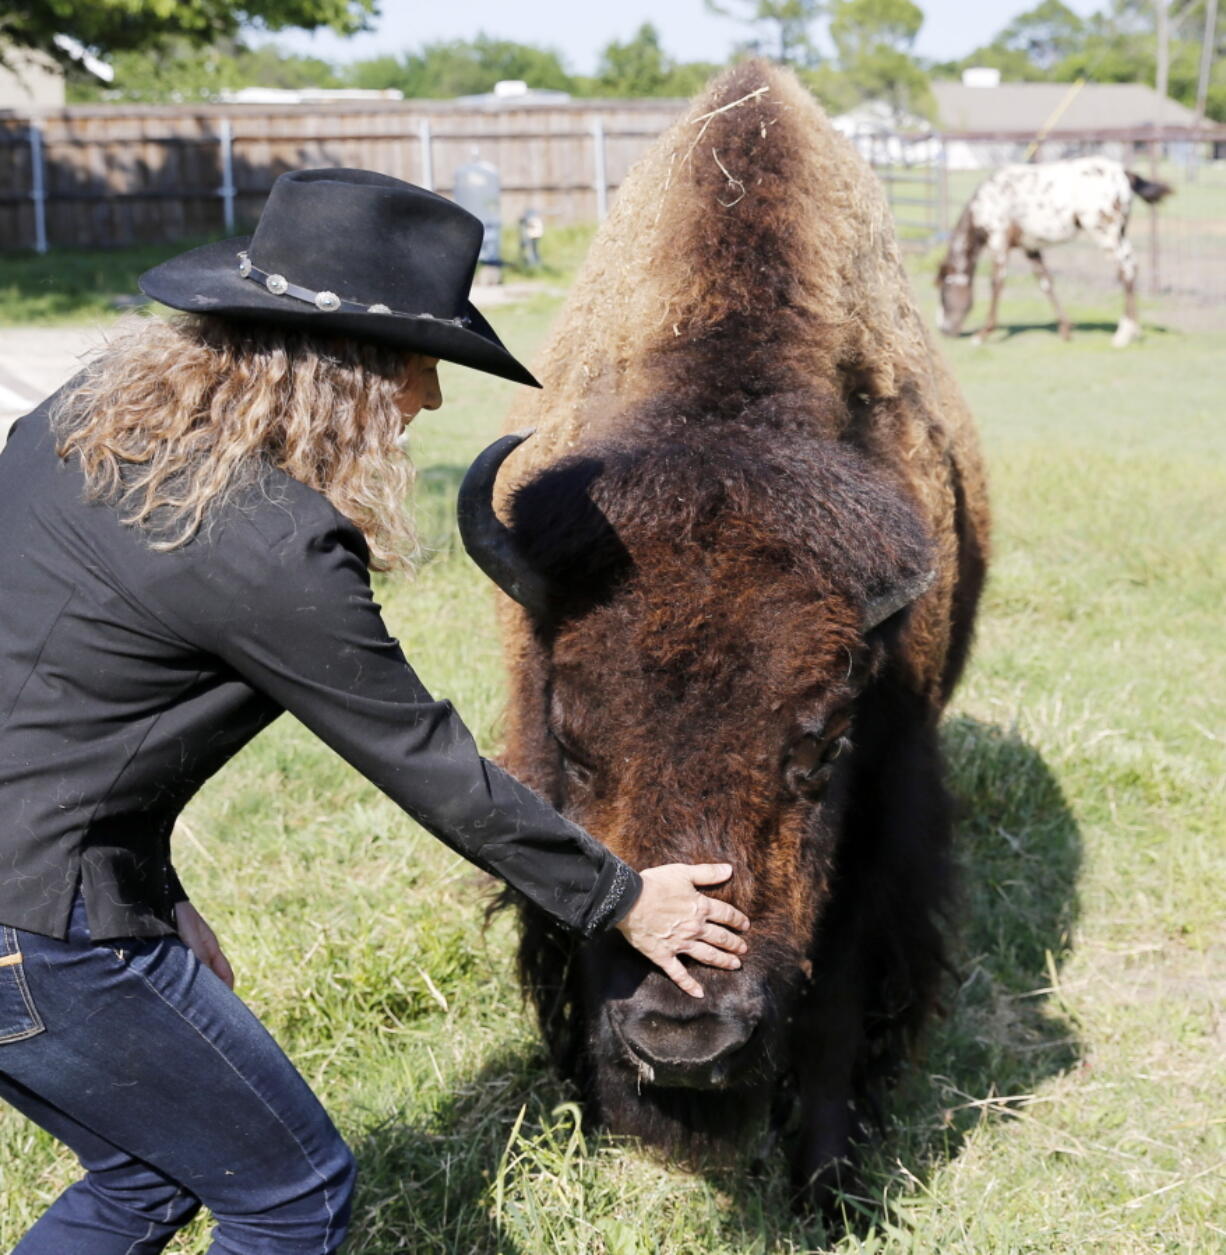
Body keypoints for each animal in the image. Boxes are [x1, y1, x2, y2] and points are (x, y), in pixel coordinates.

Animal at [456, 61, 983, 1204]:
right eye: (573, 745)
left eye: (822, 746)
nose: (685, 1039)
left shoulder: (880, 817)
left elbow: (835, 1002)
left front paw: (827, 1187)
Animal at [938, 160, 1174, 353]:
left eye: (943, 294)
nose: (943, 330)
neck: (985, 202)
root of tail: (1124, 173)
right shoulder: (1030, 247)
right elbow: (1045, 282)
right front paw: (1065, 329)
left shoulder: (999, 240)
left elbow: (997, 283)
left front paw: (983, 334)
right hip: (1118, 232)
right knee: (1131, 266)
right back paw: (1134, 330)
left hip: (1105, 232)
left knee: (1126, 269)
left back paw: (1123, 334)